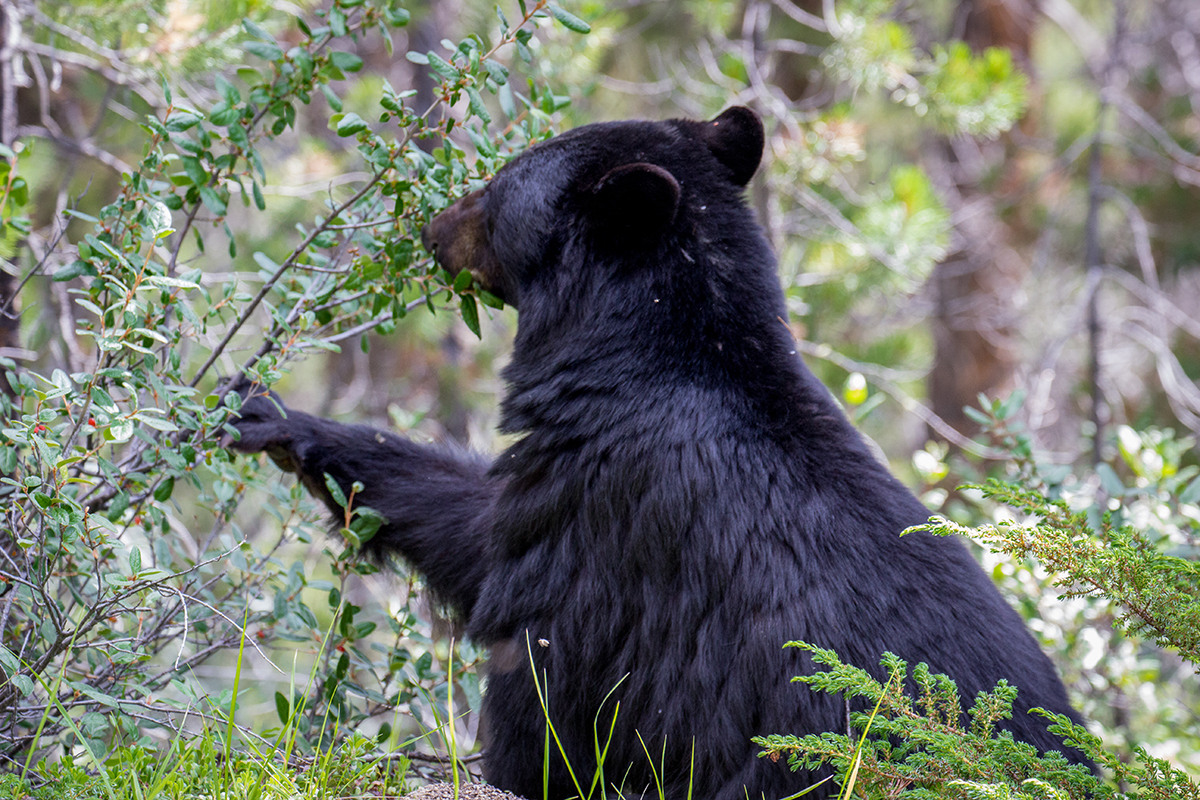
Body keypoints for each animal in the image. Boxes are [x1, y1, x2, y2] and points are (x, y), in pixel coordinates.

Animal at [224, 106, 1089, 800]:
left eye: (497, 187)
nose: (432, 226)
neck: (650, 361)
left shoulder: (609, 525)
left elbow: (529, 661)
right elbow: (466, 518)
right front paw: (272, 414)